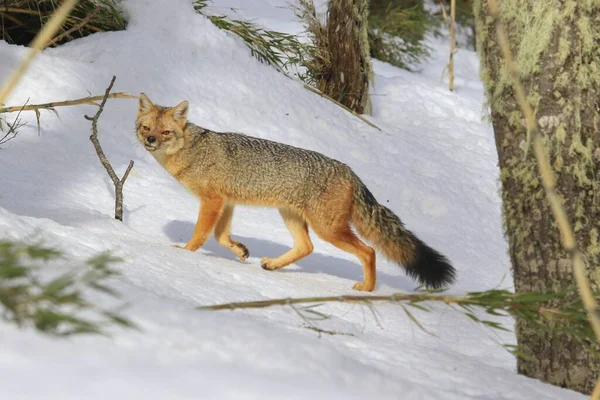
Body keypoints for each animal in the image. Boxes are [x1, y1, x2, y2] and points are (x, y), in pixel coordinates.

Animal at [136, 94, 454, 294]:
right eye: (146, 127)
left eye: (166, 132)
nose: (149, 140)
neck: (192, 151)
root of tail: (350, 171)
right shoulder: (226, 202)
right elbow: (221, 236)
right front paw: (241, 251)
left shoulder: (212, 201)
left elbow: (201, 234)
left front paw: (184, 254)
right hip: (292, 217)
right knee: (307, 247)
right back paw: (273, 265)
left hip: (328, 229)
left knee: (369, 251)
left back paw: (367, 288)